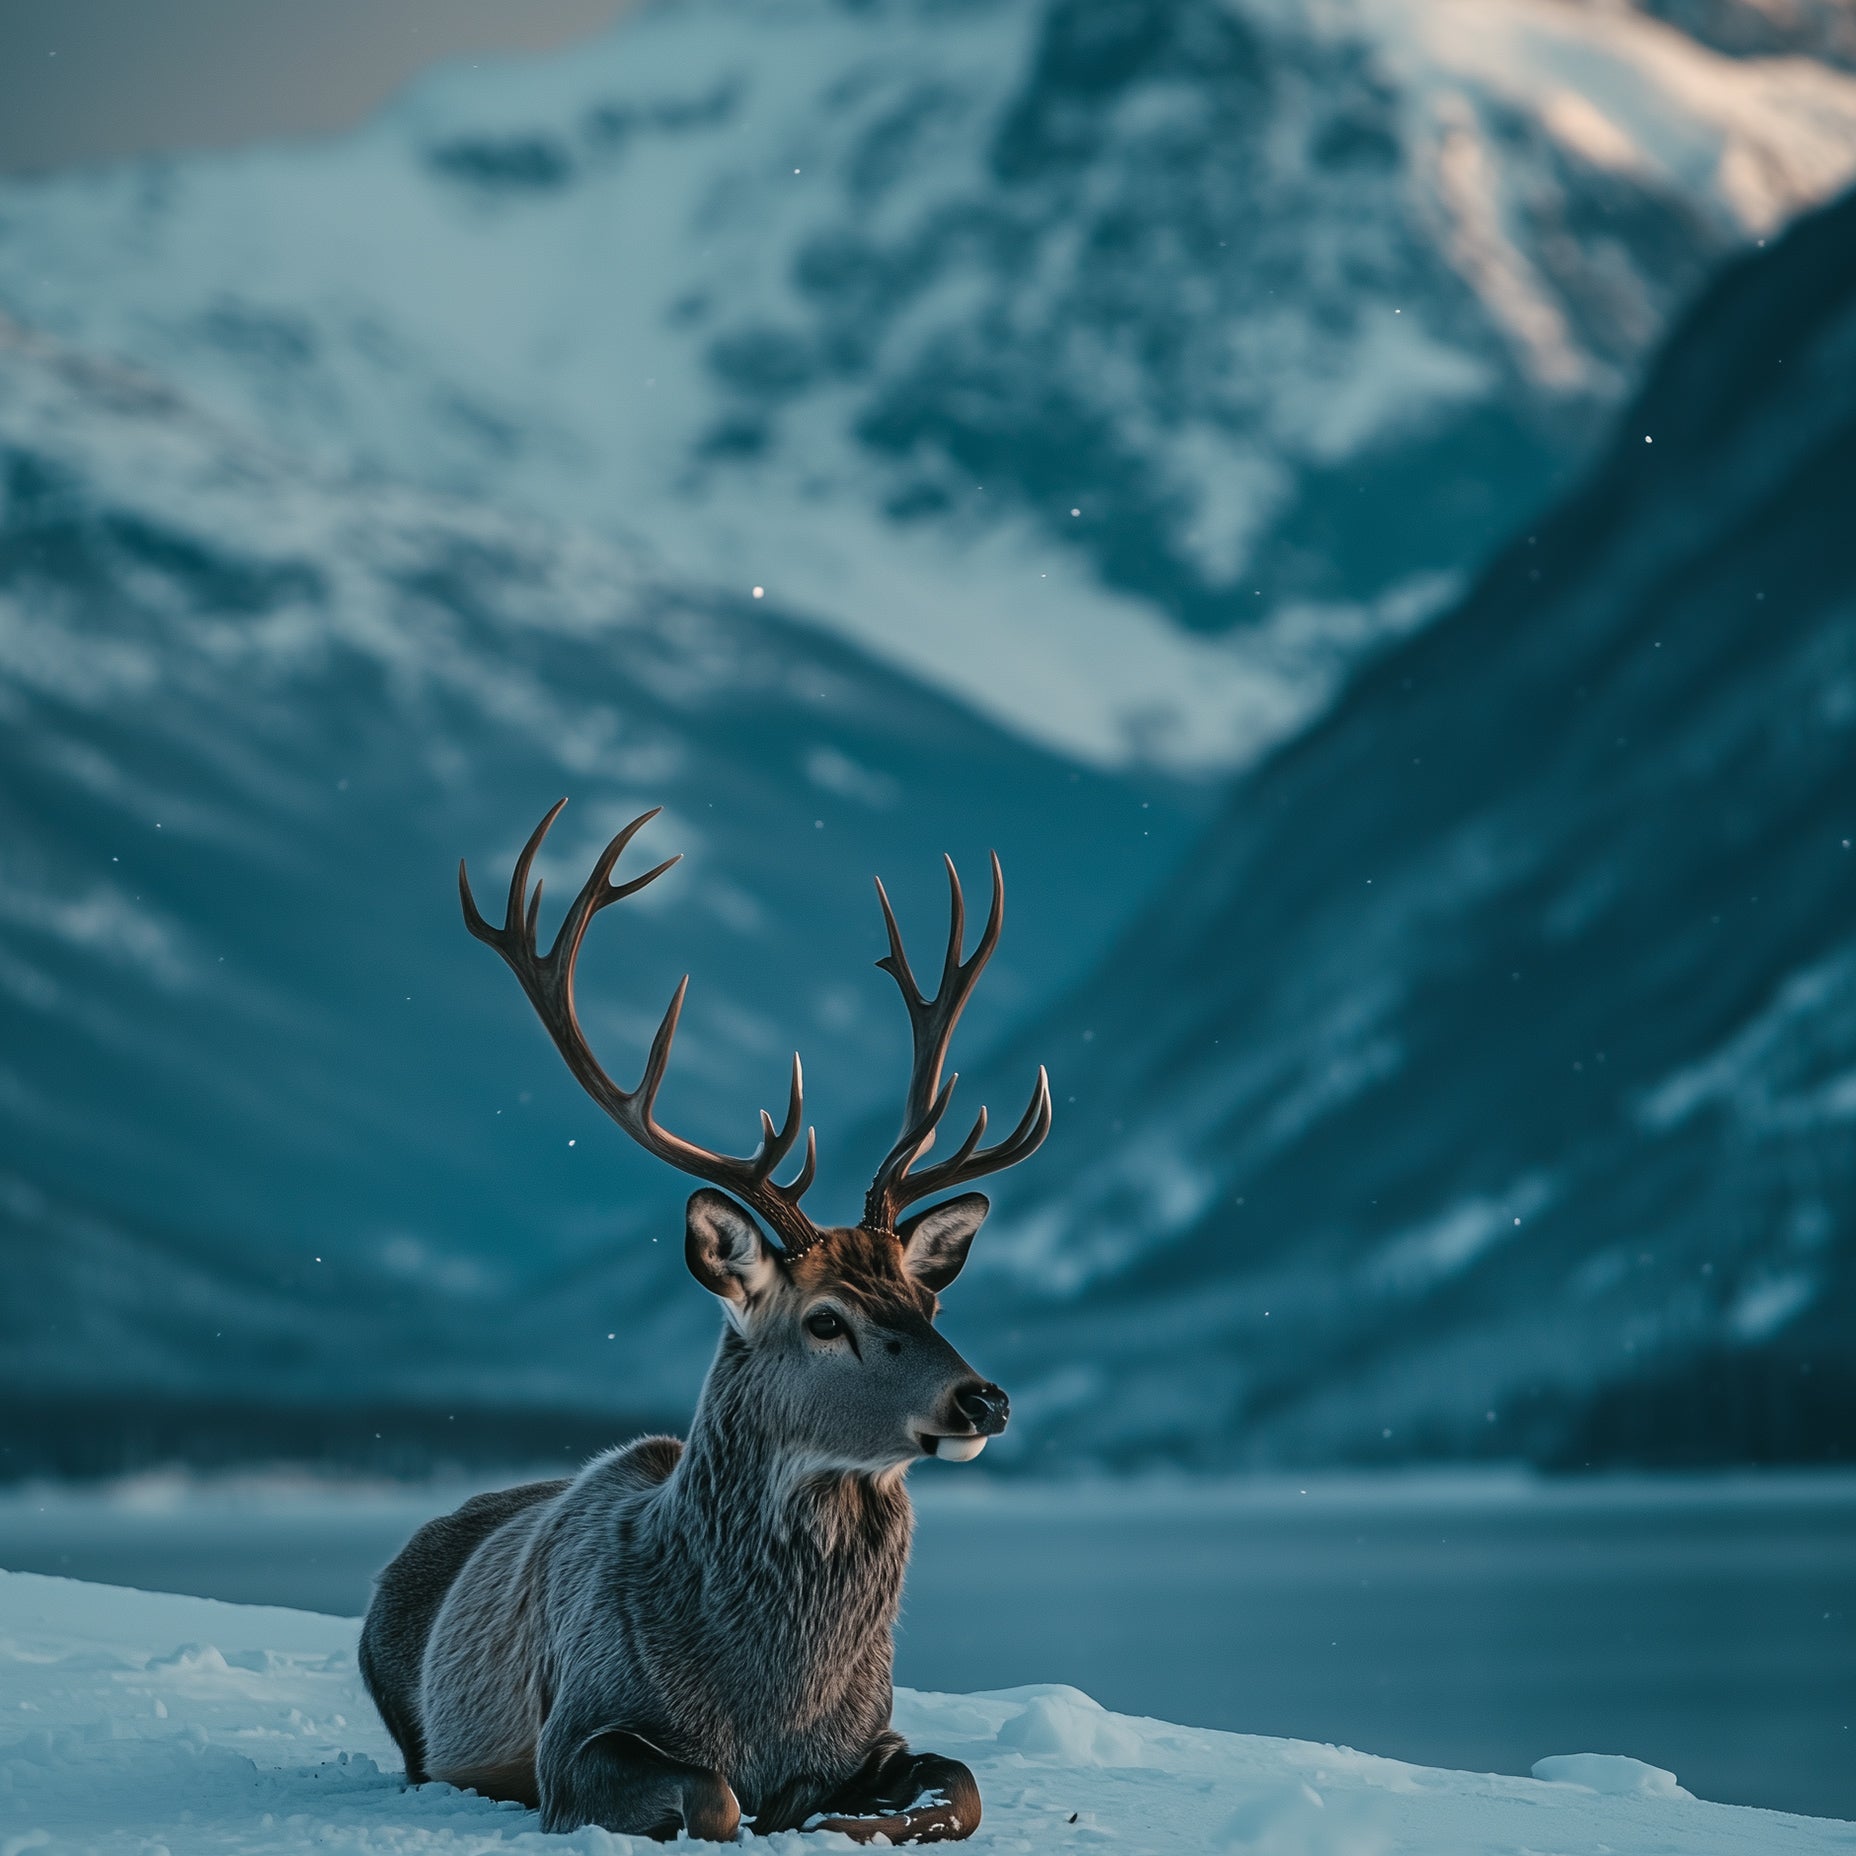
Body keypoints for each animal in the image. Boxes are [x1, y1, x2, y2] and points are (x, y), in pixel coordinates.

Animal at [359, 800, 1052, 1843]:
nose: (984, 1400)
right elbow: (716, 1799)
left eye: (928, 1301)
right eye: (824, 1319)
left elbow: (957, 1787)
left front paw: (830, 1815)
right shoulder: (577, 1734)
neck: (767, 1701)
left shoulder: (874, 1730)